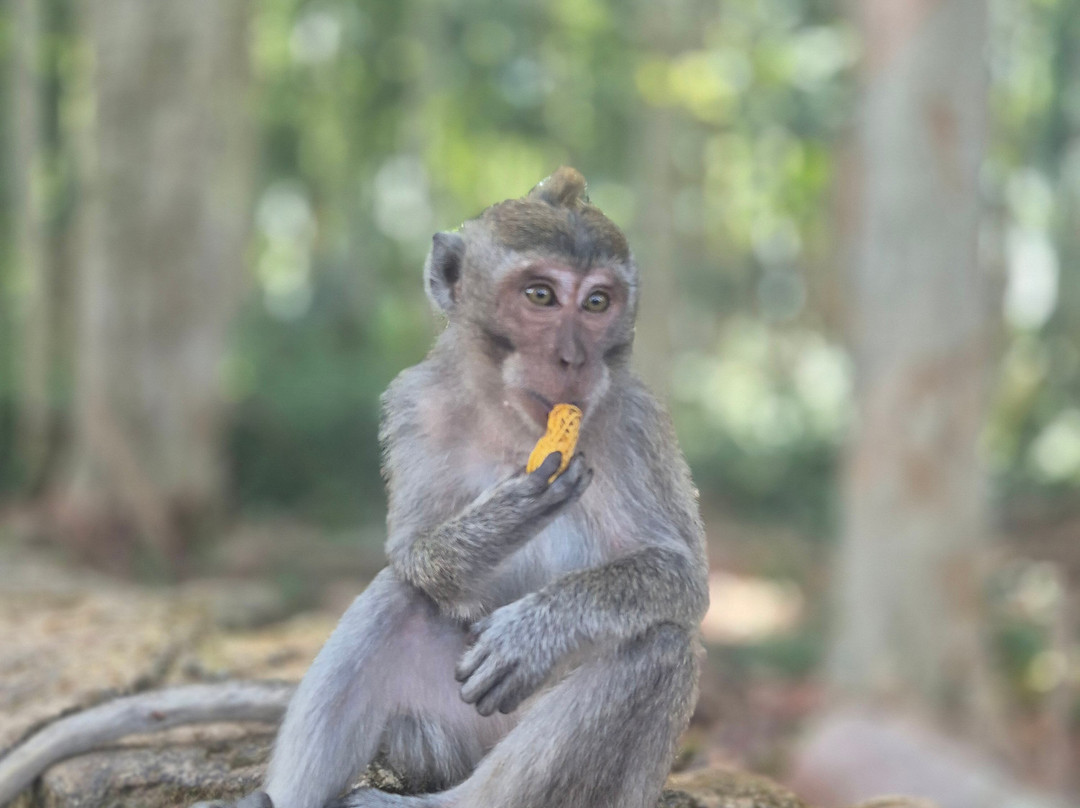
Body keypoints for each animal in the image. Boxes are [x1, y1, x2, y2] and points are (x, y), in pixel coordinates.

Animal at [218, 167, 708, 808]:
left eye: (598, 302)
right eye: (541, 295)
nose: (573, 358)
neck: (516, 425)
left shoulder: (637, 425)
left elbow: (682, 578)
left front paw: (536, 631)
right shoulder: (413, 405)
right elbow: (410, 553)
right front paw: (508, 513)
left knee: (659, 648)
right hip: (442, 736)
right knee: (397, 598)